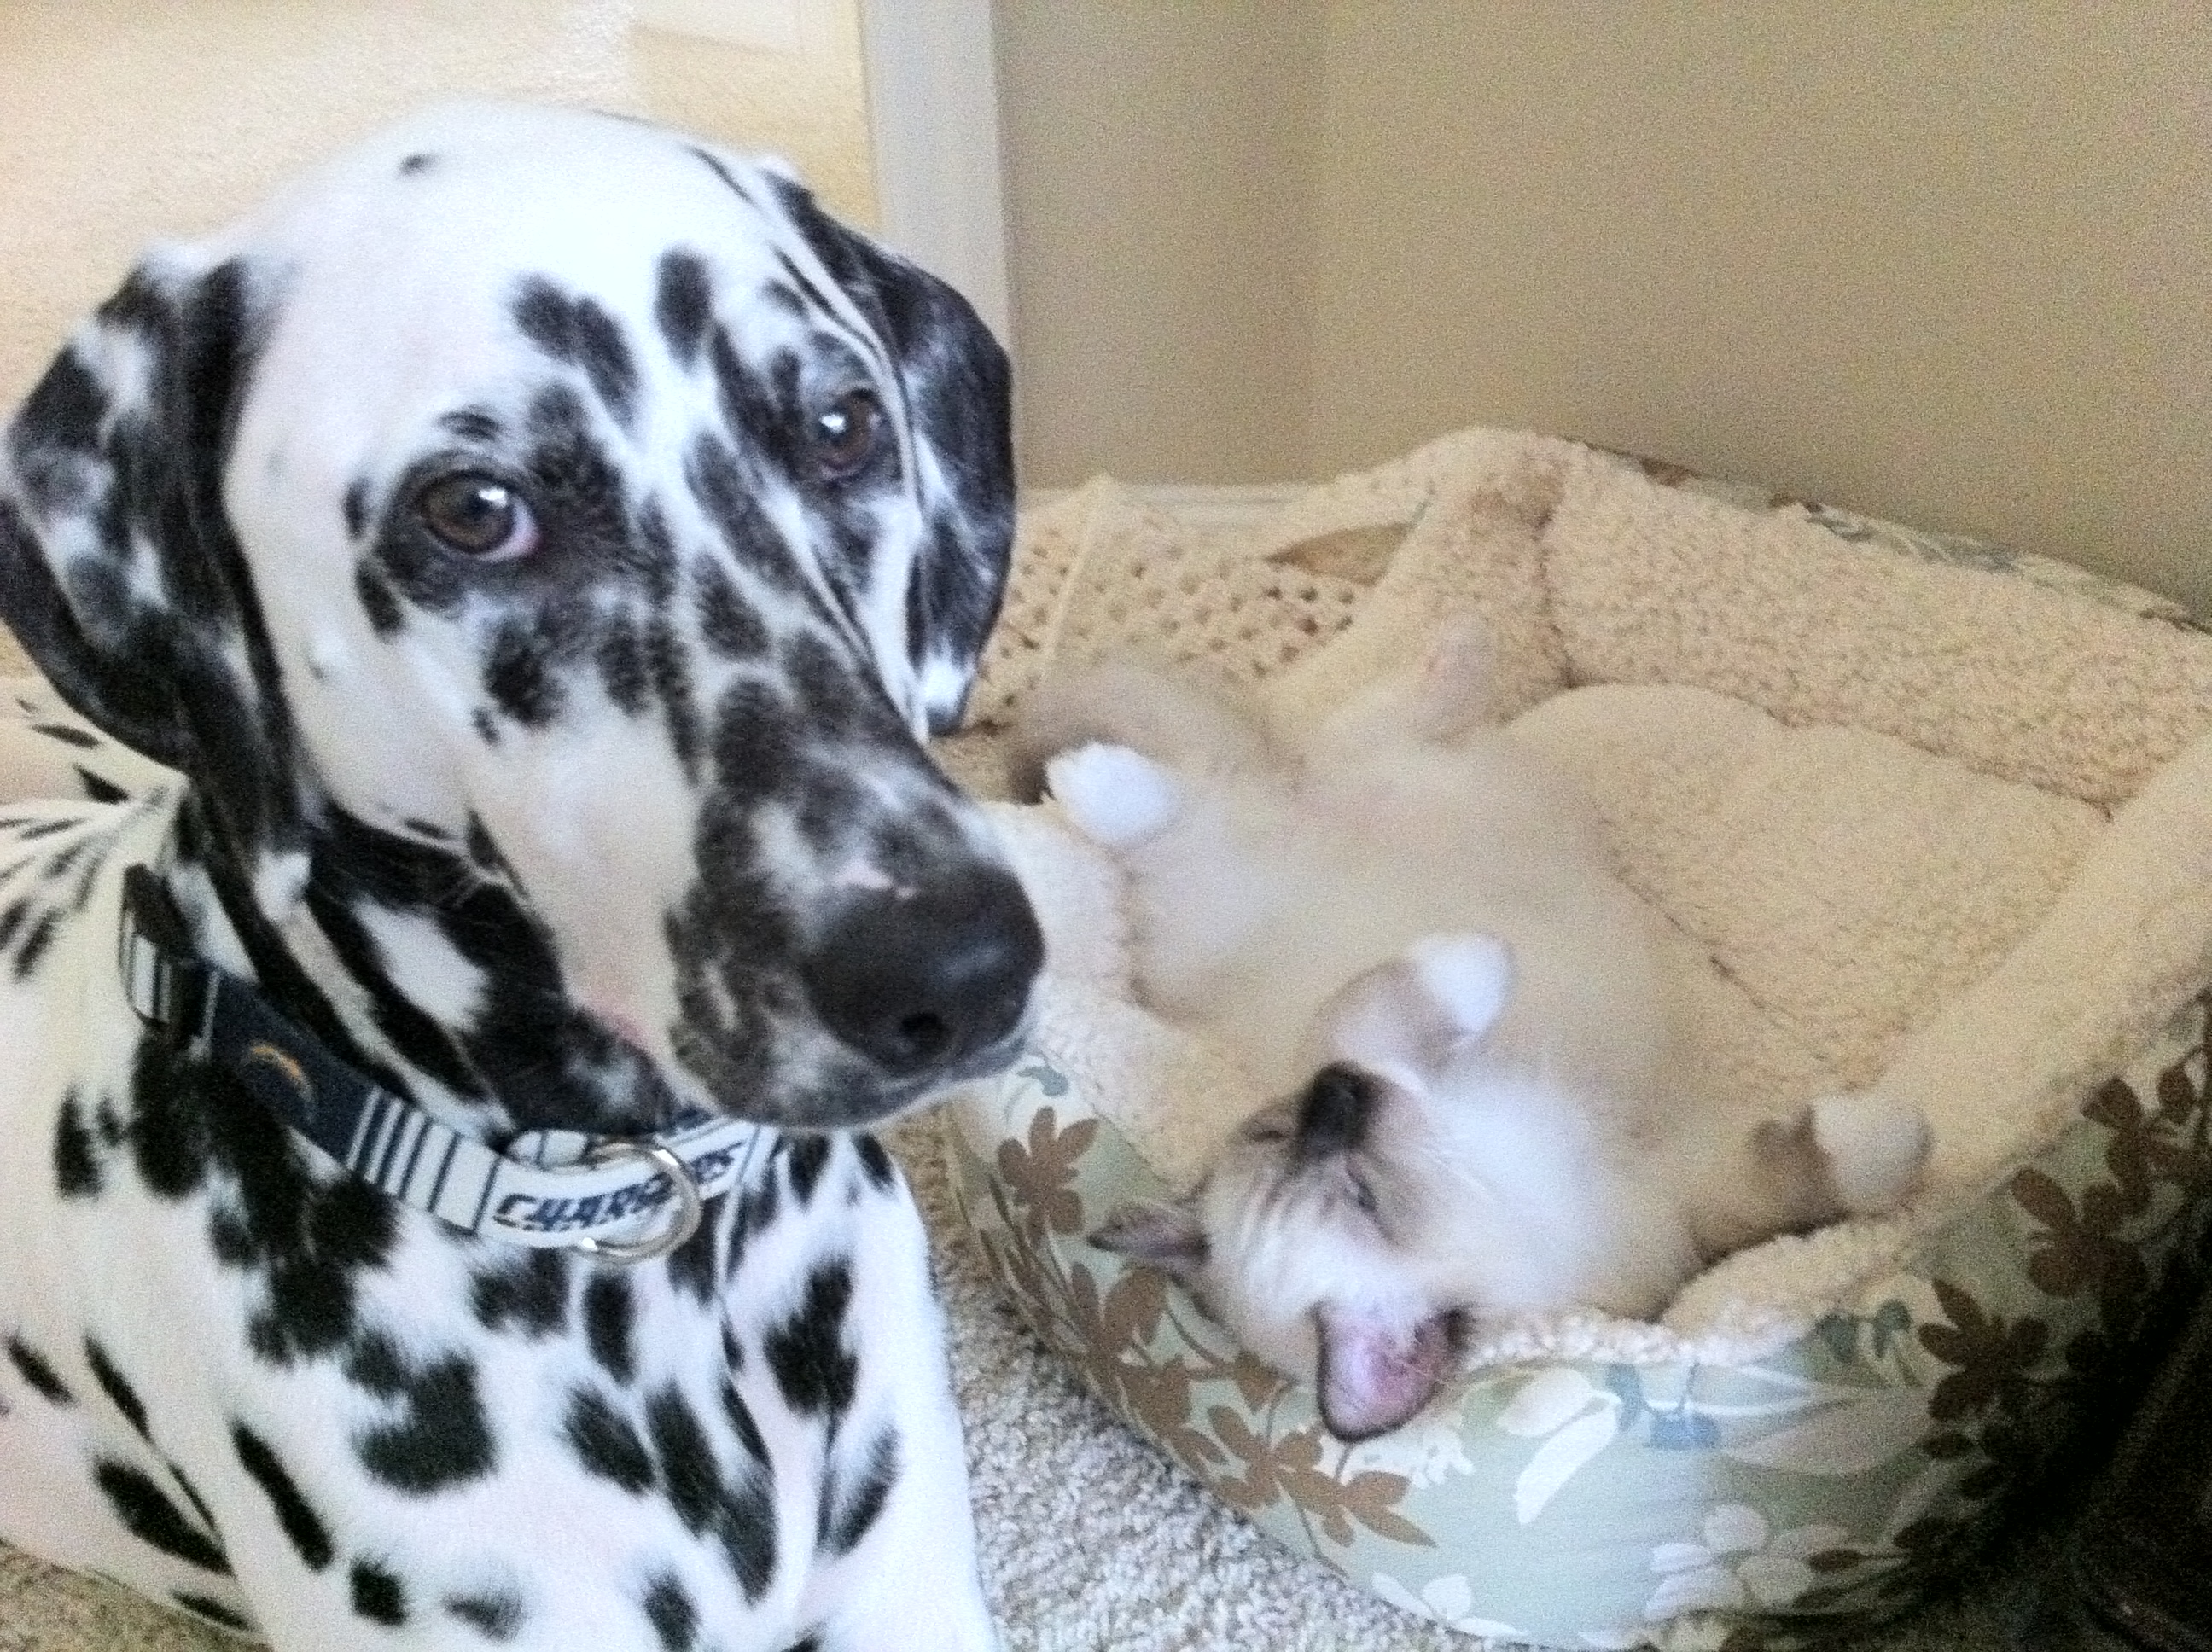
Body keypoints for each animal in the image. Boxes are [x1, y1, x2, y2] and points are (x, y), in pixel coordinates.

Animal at [1021, 639, 1931, 1440]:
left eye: (1277, 1132)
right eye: (1363, 1201)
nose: (1333, 1097)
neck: (1497, 1174)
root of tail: (1301, 803)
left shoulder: (1663, 1179)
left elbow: (1808, 1182)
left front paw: (1891, 1145)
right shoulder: (1662, 1195)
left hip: (1379, 786)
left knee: (1353, 728)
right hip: (1222, 879)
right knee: (1191, 809)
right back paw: (1089, 783)